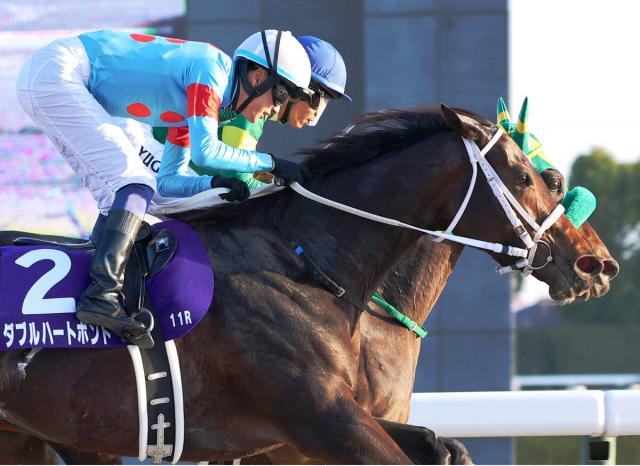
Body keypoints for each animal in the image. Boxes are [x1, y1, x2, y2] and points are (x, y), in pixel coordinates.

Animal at [0, 105, 618, 464]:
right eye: (528, 176)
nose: (596, 264)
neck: (308, 264)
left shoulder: (320, 426)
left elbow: (443, 446)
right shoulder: (321, 421)